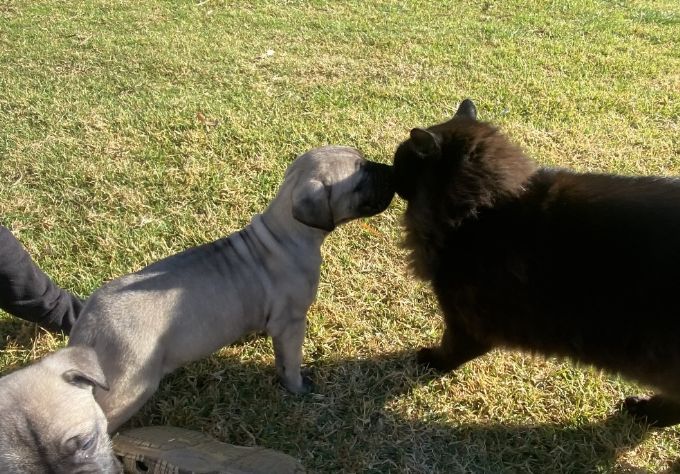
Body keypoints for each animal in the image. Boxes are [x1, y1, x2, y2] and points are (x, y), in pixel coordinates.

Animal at [68, 145, 394, 432]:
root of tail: (90, 327)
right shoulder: (292, 323)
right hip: (129, 388)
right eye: (361, 178)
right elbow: (290, 362)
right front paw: (297, 388)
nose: (392, 170)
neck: (284, 233)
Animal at [392, 98, 680, 427]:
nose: (388, 172)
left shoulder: (467, 321)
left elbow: (453, 350)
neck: (481, 209)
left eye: (399, 161)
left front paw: (431, 360)